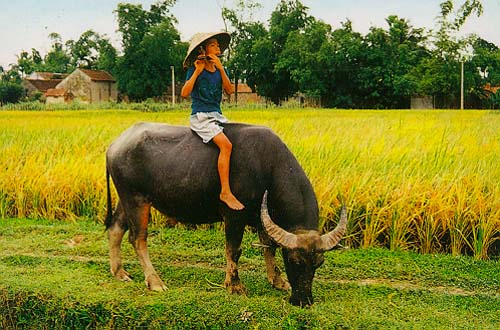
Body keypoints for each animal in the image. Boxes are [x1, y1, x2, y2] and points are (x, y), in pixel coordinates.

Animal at [104, 122, 348, 306]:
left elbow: (268, 247)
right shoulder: (233, 216)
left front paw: (277, 280)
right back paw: (155, 282)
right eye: (294, 261)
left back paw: (120, 273)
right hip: (136, 200)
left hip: (126, 199)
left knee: (116, 229)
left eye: (319, 263)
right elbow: (234, 250)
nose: (303, 300)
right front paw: (234, 285)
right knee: (138, 238)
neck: (266, 166)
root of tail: (114, 145)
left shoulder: (262, 217)